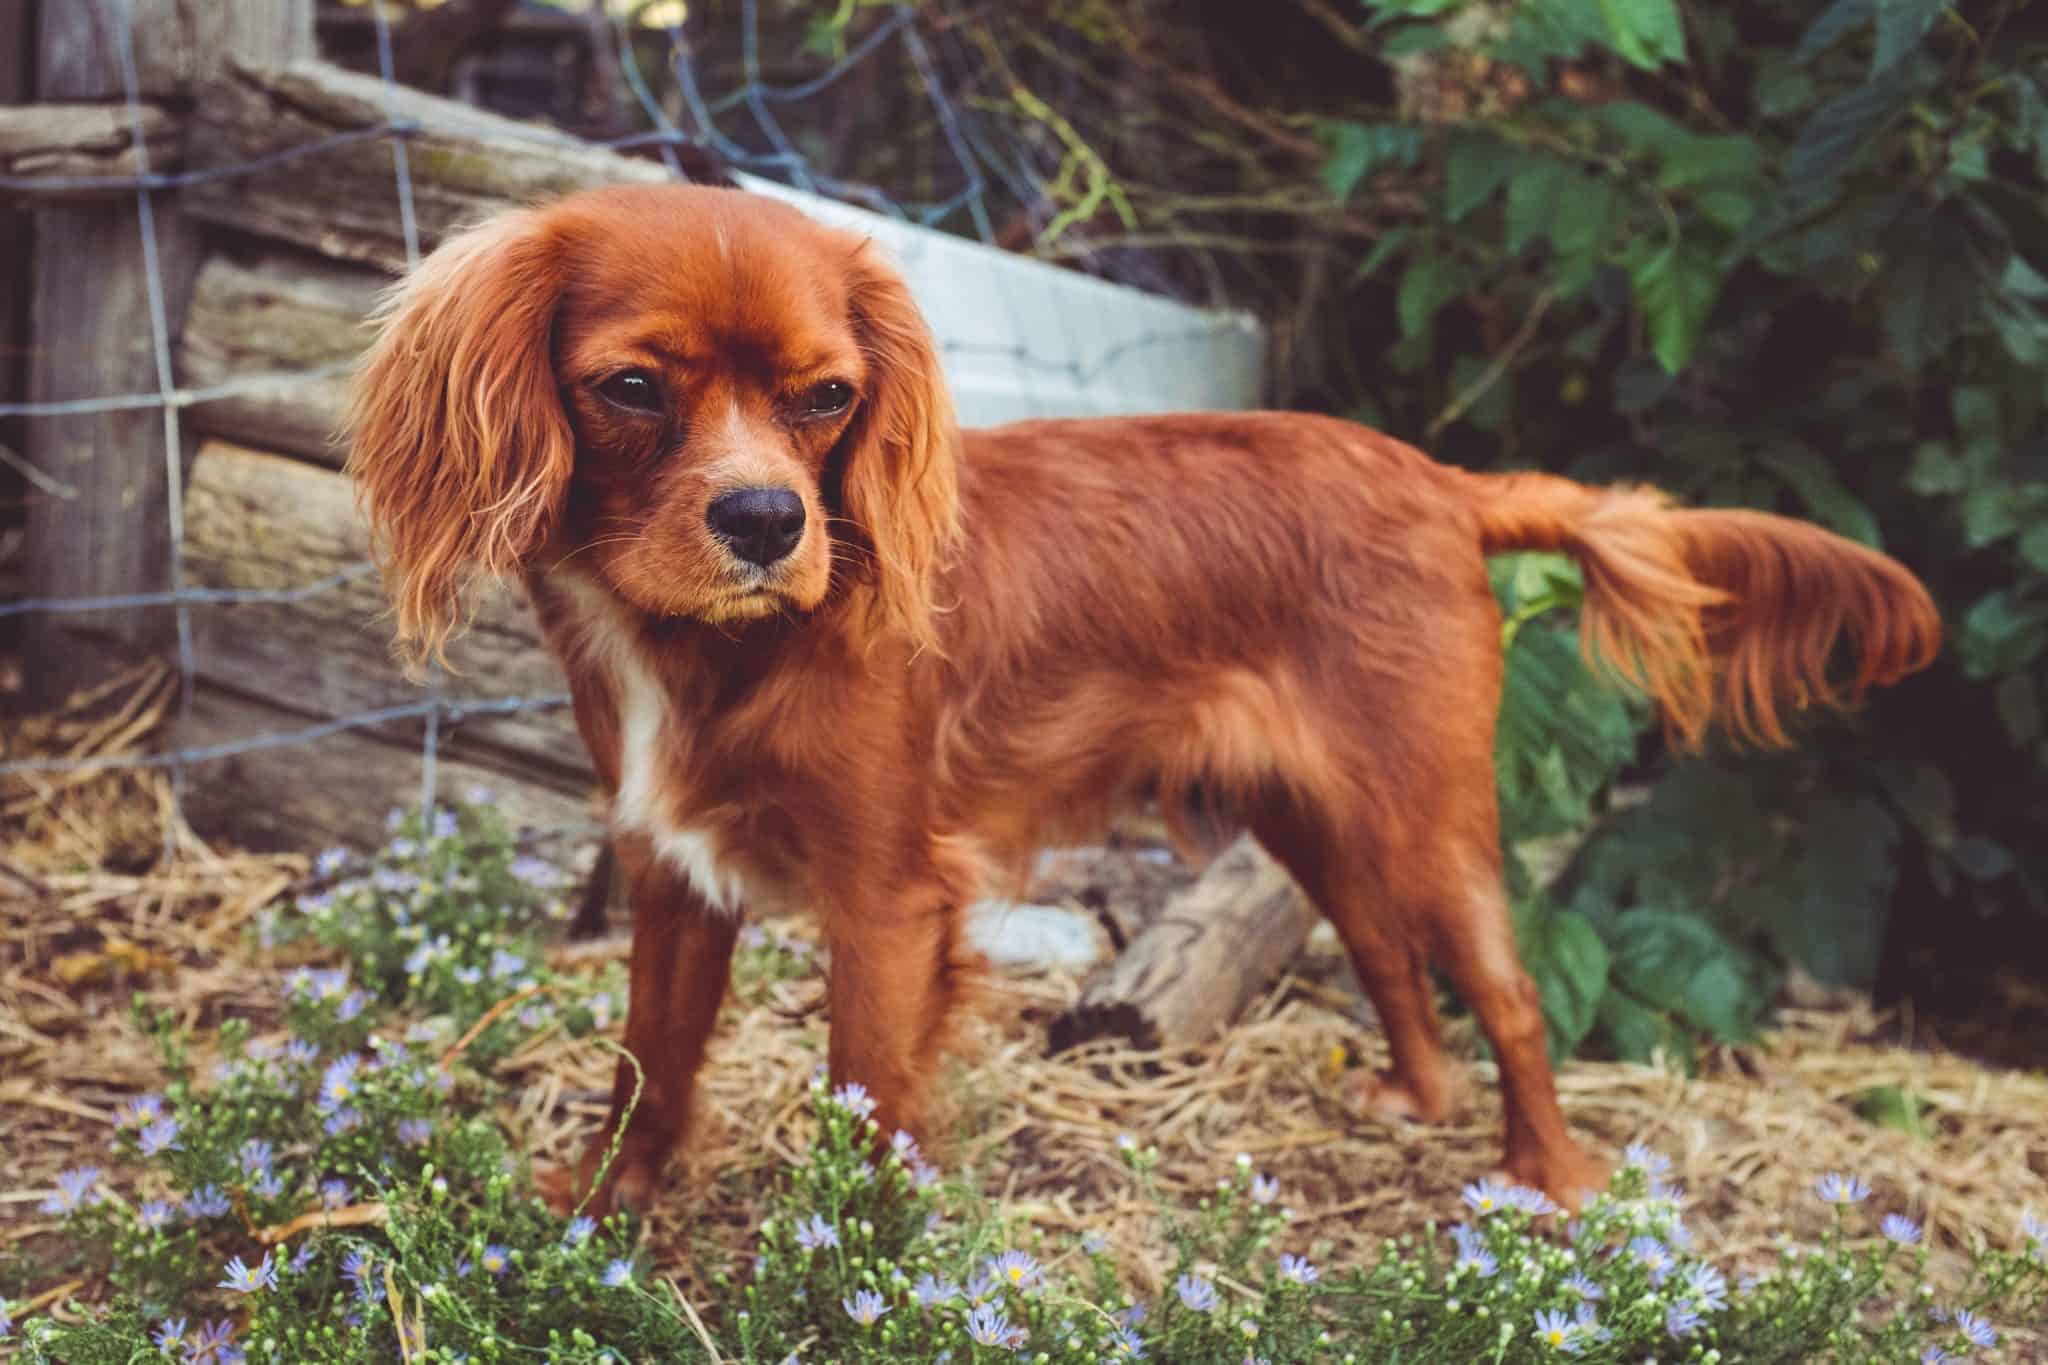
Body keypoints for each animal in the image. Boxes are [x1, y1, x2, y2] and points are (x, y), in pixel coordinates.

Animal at [344, 179, 1941, 1203]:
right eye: (630, 387)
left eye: (825, 399)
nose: (764, 521)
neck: (712, 649)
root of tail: (1442, 481)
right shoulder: (675, 878)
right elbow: (647, 1066)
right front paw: (600, 1213)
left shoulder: (887, 903)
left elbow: (866, 1102)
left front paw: (847, 1272)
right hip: (1307, 817)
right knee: (1386, 957)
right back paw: (1410, 1103)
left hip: (1427, 817)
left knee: (1510, 990)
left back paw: (1544, 1179)